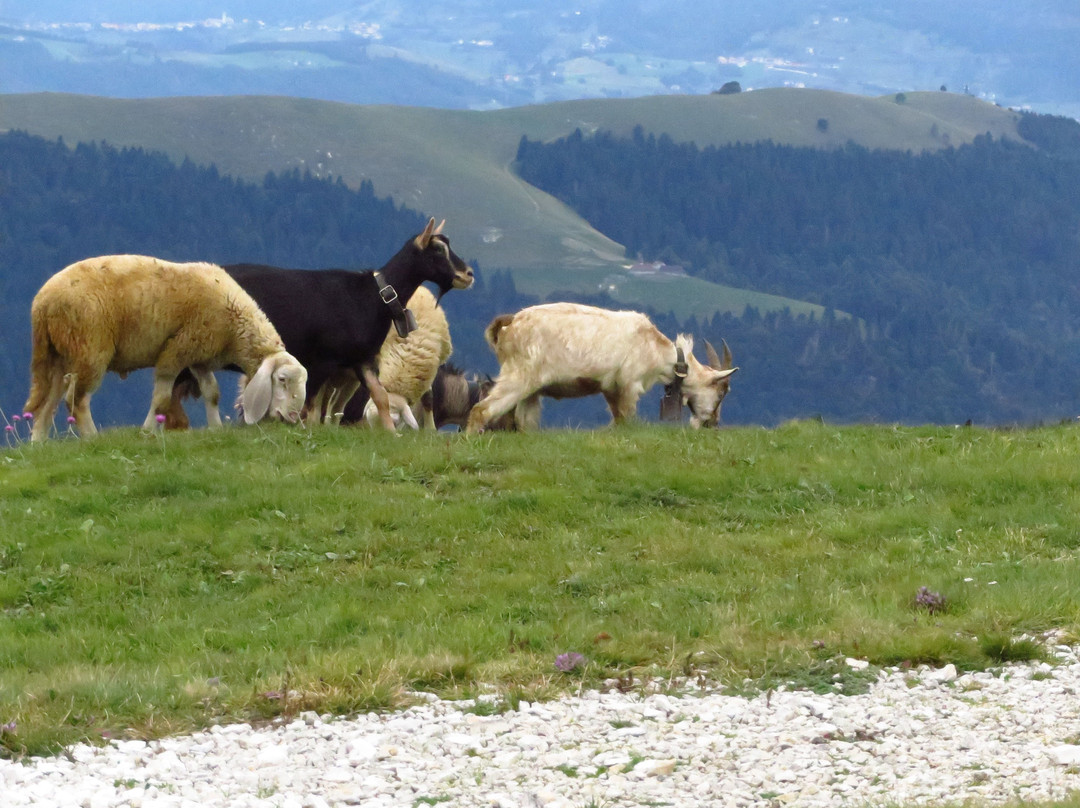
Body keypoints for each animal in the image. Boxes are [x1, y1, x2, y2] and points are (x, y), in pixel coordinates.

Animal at [23, 252, 308, 442]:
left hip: (59, 353)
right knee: (76, 399)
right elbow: (161, 399)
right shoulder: (177, 350)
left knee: (48, 402)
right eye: (282, 379)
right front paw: (147, 431)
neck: (233, 323)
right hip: (90, 348)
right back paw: (93, 438)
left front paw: (216, 427)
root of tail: (42, 303)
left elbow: (212, 392)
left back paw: (38, 445)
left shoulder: (199, 355)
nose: (293, 418)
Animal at [166, 214, 470, 429]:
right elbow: (310, 409)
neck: (373, 296)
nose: (468, 274)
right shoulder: (322, 361)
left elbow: (381, 398)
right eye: (437, 250)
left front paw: (391, 434)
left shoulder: (361, 360)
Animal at [464, 300, 734, 432]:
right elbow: (627, 419)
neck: (657, 348)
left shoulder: (610, 388)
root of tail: (507, 328)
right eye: (722, 391)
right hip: (519, 376)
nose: (713, 423)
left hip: (531, 391)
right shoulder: (629, 383)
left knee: (523, 424)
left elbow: (617, 419)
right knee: (481, 410)